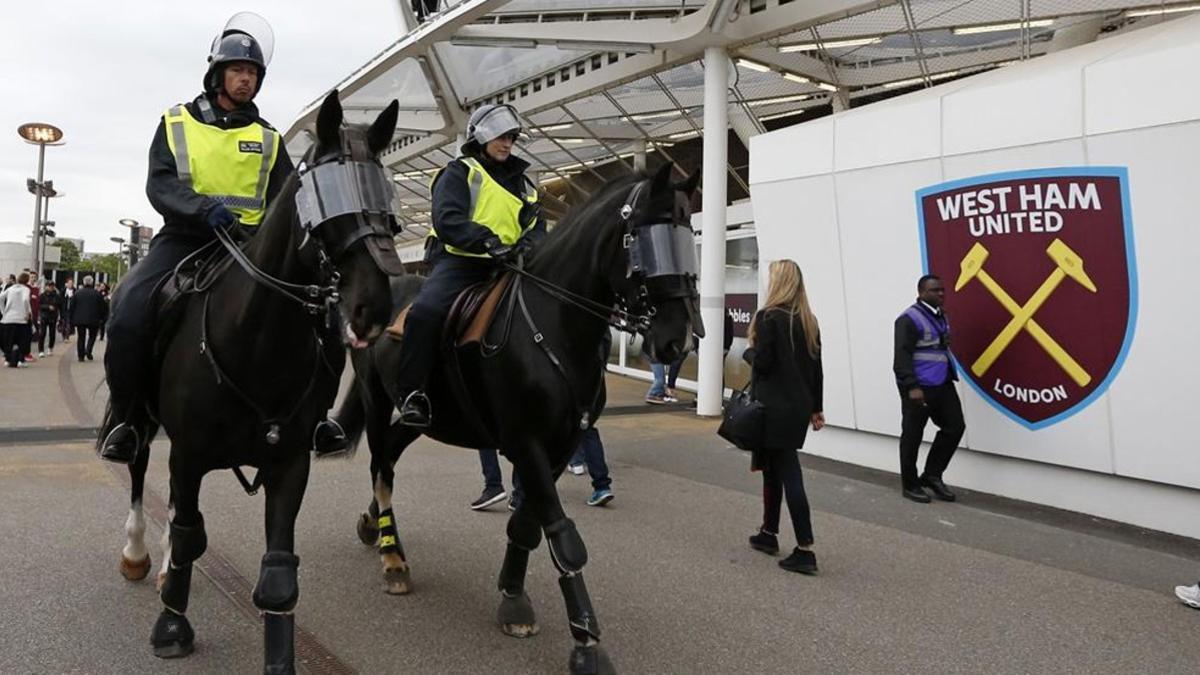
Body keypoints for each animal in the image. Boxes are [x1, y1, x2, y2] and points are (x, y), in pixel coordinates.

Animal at [109, 91, 398, 667]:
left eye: (384, 194)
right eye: (327, 197)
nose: (375, 306)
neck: (257, 344)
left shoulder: (289, 463)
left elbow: (278, 573)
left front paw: (280, 656)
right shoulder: (189, 454)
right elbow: (189, 534)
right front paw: (172, 624)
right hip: (142, 421)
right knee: (138, 471)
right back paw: (137, 553)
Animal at [331, 159, 700, 667]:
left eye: (687, 236)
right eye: (645, 239)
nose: (677, 340)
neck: (554, 324)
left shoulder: (560, 444)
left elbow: (527, 524)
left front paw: (512, 597)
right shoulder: (527, 441)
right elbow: (562, 533)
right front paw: (586, 640)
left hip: (422, 416)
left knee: (390, 452)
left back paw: (373, 528)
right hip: (375, 398)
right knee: (380, 466)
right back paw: (393, 558)